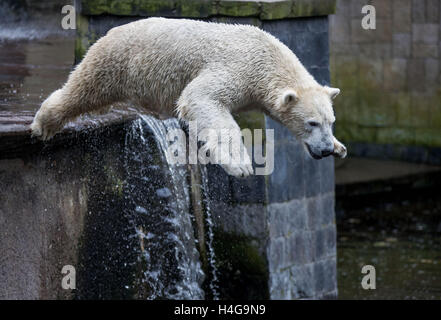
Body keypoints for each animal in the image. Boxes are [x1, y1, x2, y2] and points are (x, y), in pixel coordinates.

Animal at [31, 17, 348, 176]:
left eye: (330, 122)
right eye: (311, 123)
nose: (324, 150)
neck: (267, 58)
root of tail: (110, 31)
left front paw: (340, 147)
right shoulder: (237, 68)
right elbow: (201, 98)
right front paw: (241, 165)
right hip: (115, 62)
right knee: (82, 89)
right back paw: (43, 124)